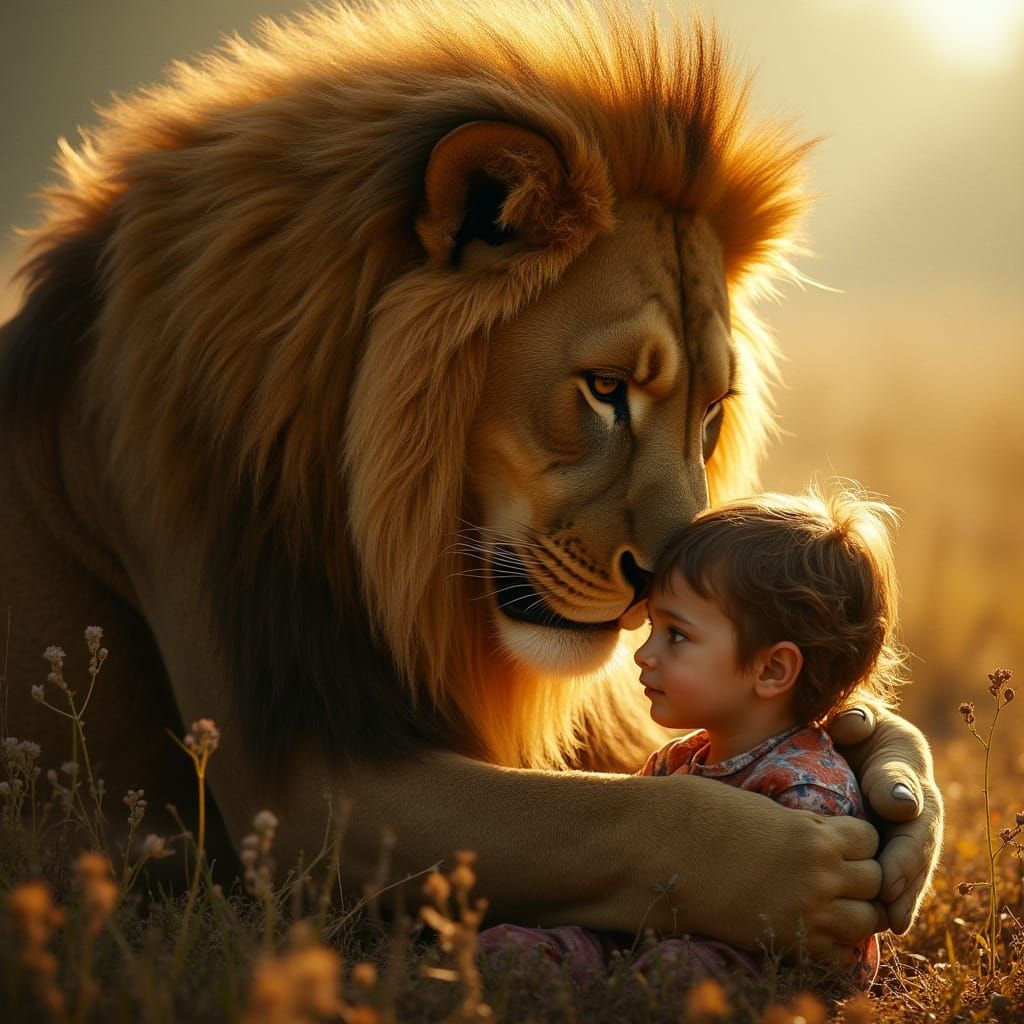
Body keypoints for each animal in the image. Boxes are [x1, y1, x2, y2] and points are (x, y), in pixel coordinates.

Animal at [0, 0, 940, 957]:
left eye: (710, 411)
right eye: (607, 389)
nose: (657, 590)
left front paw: (895, 776)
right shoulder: (297, 782)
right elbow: (620, 811)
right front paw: (804, 867)